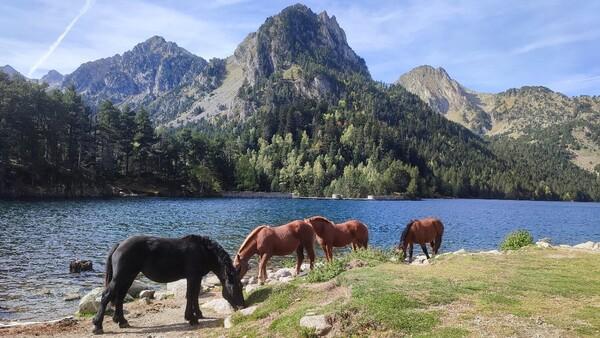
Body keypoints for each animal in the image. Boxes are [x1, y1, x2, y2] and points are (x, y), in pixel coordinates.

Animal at [92, 236, 246, 334]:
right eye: (237, 286)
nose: (242, 307)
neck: (203, 252)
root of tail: (119, 245)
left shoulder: (196, 278)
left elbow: (195, 295)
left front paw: (197, 314)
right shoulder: (193, 277)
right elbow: (191, 295)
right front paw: (191, 318)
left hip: (128, 277)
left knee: (120, 297)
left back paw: (122, 321)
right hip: (121, 277)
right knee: (106, 296)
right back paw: (98, 325)